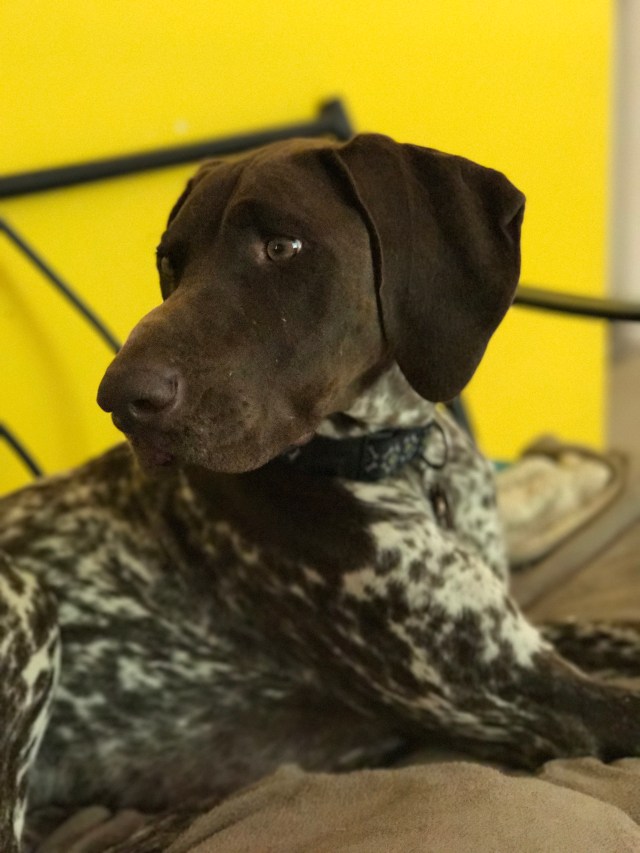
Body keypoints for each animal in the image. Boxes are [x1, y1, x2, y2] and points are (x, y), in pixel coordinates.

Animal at [2, 133, 640, 852]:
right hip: (26, 600)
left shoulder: (521, 637)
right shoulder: (521, 691)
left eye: (283, 246)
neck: (398, 464)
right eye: (172, 261)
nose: (120, 398)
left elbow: (619, 629)